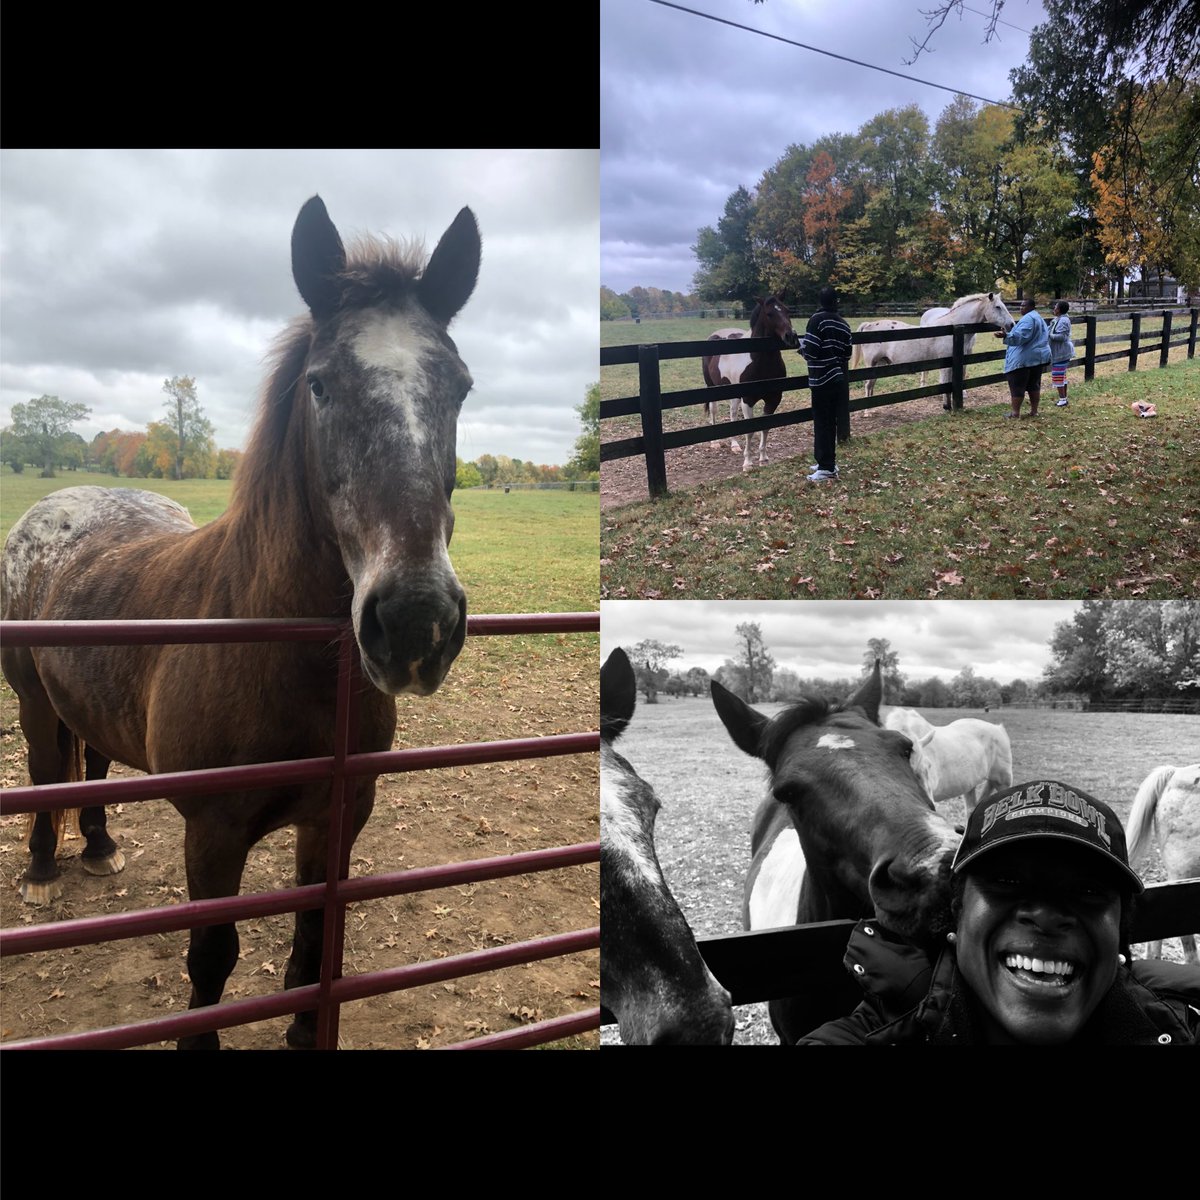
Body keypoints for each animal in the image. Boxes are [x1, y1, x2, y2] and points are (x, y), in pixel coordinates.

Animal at [0, 195, 480, 1049]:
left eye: (459, 386)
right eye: (320, 385)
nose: (415, 621)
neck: (288, 661)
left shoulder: (337, 820)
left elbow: (314, 945)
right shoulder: (213, 834)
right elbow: (212, 960)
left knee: (92, 765)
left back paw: (99, 847)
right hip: (32, 705)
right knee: (48, 770)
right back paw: (43, 872)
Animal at [700, 296, 800, 472]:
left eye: (787, 310)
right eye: (769, 314)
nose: (791, 336)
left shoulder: (774, 399)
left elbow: (765, 427)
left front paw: (763, 458)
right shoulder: (747, 400)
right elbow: (750, 430)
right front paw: (747, 463)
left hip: (733, 393)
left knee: (733, 414)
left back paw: (734, 445)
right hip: (712, 388)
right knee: (713, 410)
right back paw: (715, 443)